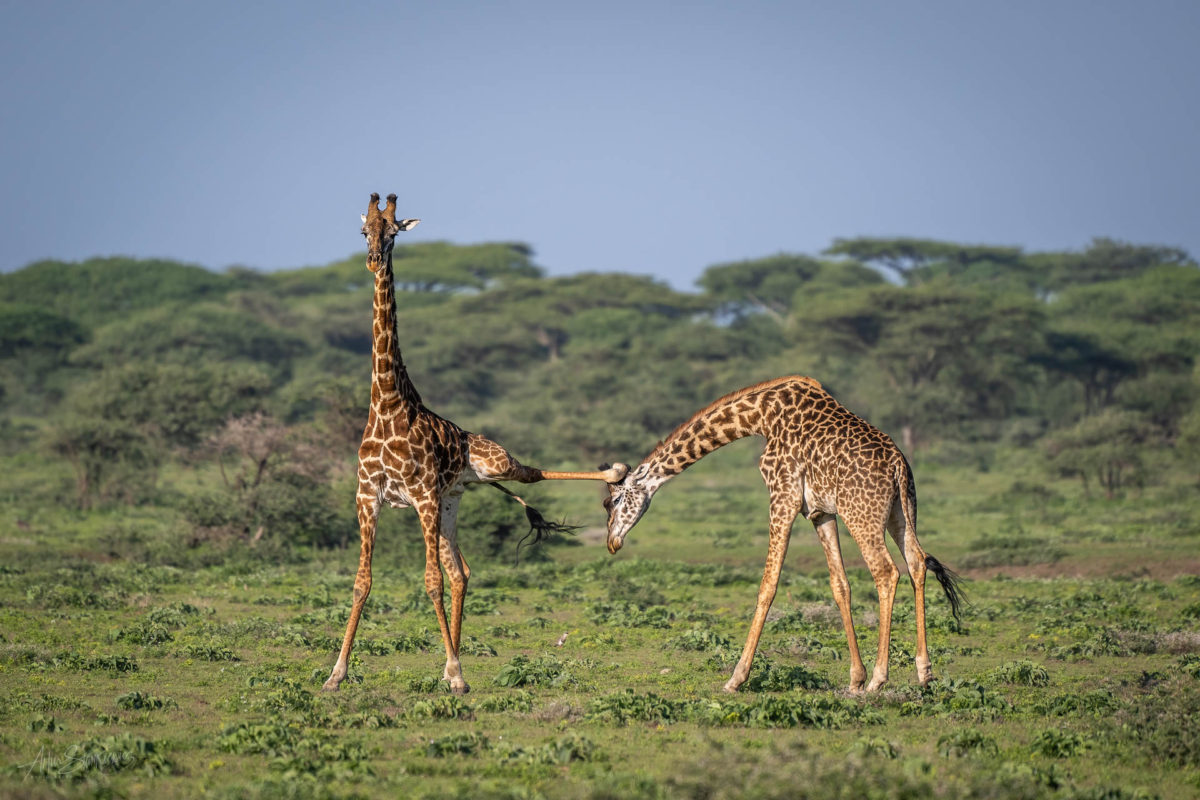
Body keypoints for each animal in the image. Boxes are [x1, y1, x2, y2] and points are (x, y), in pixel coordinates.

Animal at [328, 191, 628, 695]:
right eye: (364, 231)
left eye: (393, 233)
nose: (372, 260)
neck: (387, 404)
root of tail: (472, 466)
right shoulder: (368, 496)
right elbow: (362, 581)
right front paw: (337, 673)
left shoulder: (421, 495)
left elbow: (429, 580)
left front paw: (455, 674)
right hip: (452, 498)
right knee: (461, 571)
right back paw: (452, 660)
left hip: (484, 472)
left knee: (530, 475)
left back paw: (616, 471)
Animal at [604, 376, 960, 695]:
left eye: (613, 501)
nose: (612, 543)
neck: (761, 416)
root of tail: (898, 465)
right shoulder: (821, 512)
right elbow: (840, 585)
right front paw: (854, 679)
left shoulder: (783, 496)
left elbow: (768, 585)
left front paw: (736, 678)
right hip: (902, 510)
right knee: (916, 562)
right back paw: (924, 673)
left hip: (862, 515)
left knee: (886, 572)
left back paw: (879, 679)